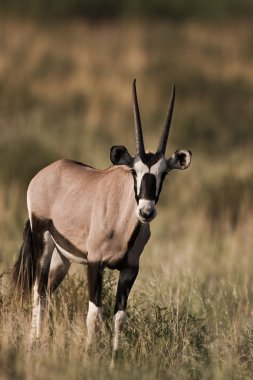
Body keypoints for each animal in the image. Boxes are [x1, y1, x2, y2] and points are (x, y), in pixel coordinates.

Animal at [12, 80, 192, 368]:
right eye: (134, 171)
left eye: (163, 173)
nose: (146, 211)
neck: (123, 221)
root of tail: (44, 174)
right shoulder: (95, 264)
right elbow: (94, 313)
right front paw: (88, 356)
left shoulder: (130, 270)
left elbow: (119, 317)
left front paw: (113, 361)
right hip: (43, 242)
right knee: (37, 293)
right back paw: (33, 346)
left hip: (62, 259)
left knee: (47, 293)